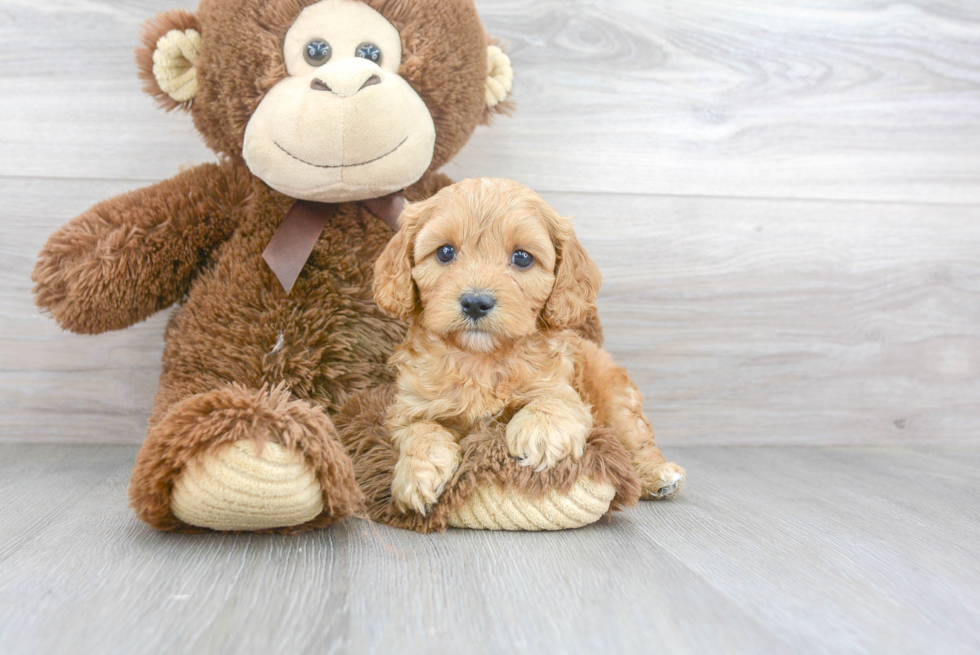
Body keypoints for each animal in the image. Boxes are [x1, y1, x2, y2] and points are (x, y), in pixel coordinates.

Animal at [372, 177, 684, 516]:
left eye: (522, 257)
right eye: (445, 252)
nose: (475, 302)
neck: (481, 359)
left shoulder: (564, 390)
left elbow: (552, 401)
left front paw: (540, 434)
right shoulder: (408, 409)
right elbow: (421, 431)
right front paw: (418, 474)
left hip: (615, 399)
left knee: (637, 439)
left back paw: (658, 475)